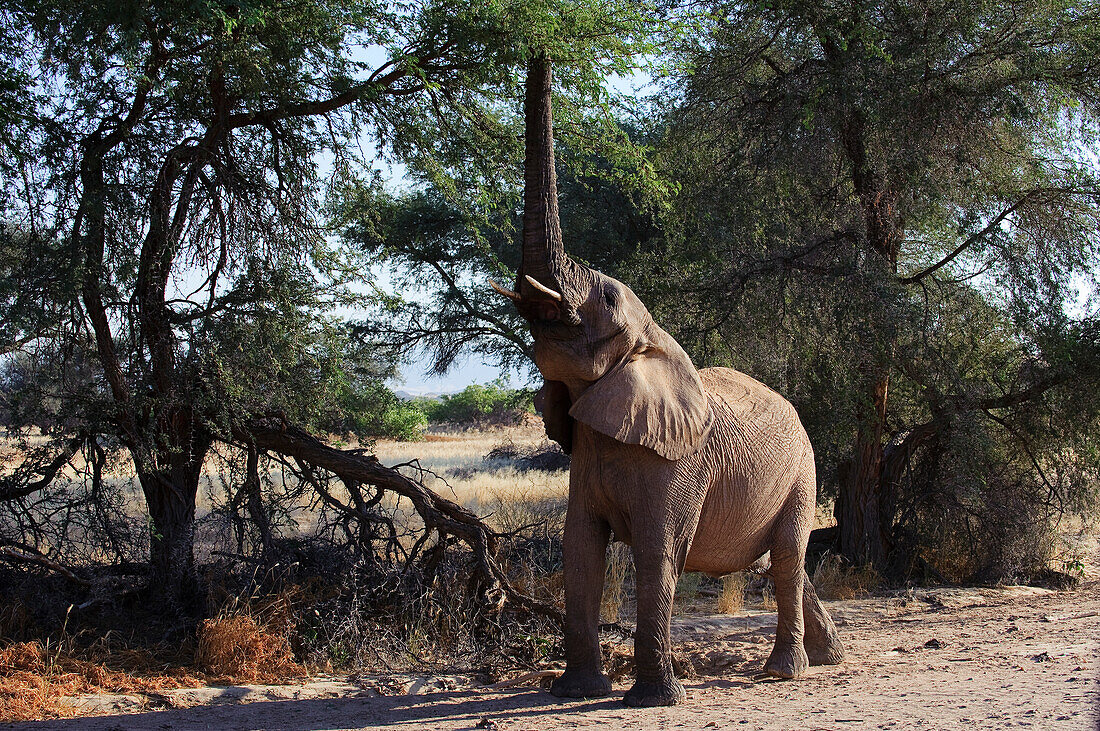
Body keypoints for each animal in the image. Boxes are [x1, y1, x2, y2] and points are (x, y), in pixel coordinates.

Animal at [495, 55, 844, 707]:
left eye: (607, 299)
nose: (541, 50)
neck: (651, 341)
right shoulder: (586, 452)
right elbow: (580, 549)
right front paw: (576, 692)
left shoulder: (679, 464)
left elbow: (660, 552)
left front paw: (652, 699)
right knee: (788, 562)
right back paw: (829, 658)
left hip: (803, 473)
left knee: (788, 556)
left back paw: (786, 673)